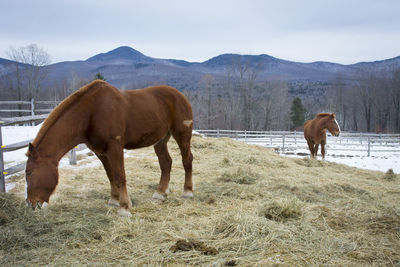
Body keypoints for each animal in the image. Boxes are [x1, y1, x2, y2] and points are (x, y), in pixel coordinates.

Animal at [25, 79, 194, 216]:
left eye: (30, 173)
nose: (30, 203)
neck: (91, 112)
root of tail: (180, 95)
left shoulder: (115, 147)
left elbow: (120, 175)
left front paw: (124, 207)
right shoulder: (101, 151)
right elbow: (110, 175)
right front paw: (114, 200)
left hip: (182, 134)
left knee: (187, 160)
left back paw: (187, 191)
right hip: (160, 140)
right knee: (166, 163)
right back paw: (160, 194)